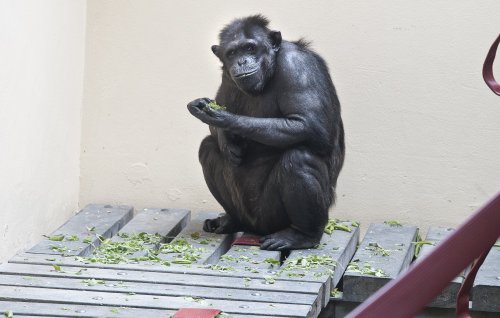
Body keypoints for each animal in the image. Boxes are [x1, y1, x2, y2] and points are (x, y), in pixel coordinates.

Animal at [188, 14, 344, 250]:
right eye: (232, 53)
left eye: (250, 48)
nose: (242, 61)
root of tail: (254, 228)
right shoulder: (227, 75)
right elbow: (218, 110)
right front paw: (226, 140)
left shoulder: (297, 66)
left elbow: (310, 125)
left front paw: (225, 119)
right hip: (245, 212)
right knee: (207, 148)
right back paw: (229, 221)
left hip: (271, 216)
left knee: (300, 157)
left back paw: (301, 235)